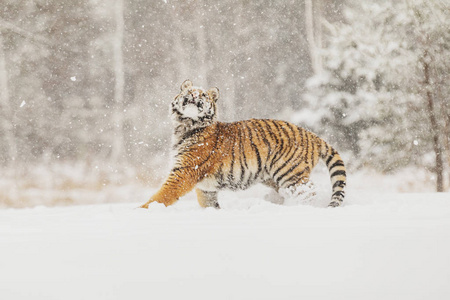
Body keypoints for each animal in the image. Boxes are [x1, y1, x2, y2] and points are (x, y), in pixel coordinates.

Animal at [140, 79, 344, 209]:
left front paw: (143, 210)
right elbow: (208, 204)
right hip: (273, 177)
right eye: (189, 92)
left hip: (290, 174)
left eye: (204, 95)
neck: (185, 126)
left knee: (307, 194)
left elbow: (163, 194)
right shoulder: (205, 187)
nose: (195, 95)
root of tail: (312, 135)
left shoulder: (185, 170)